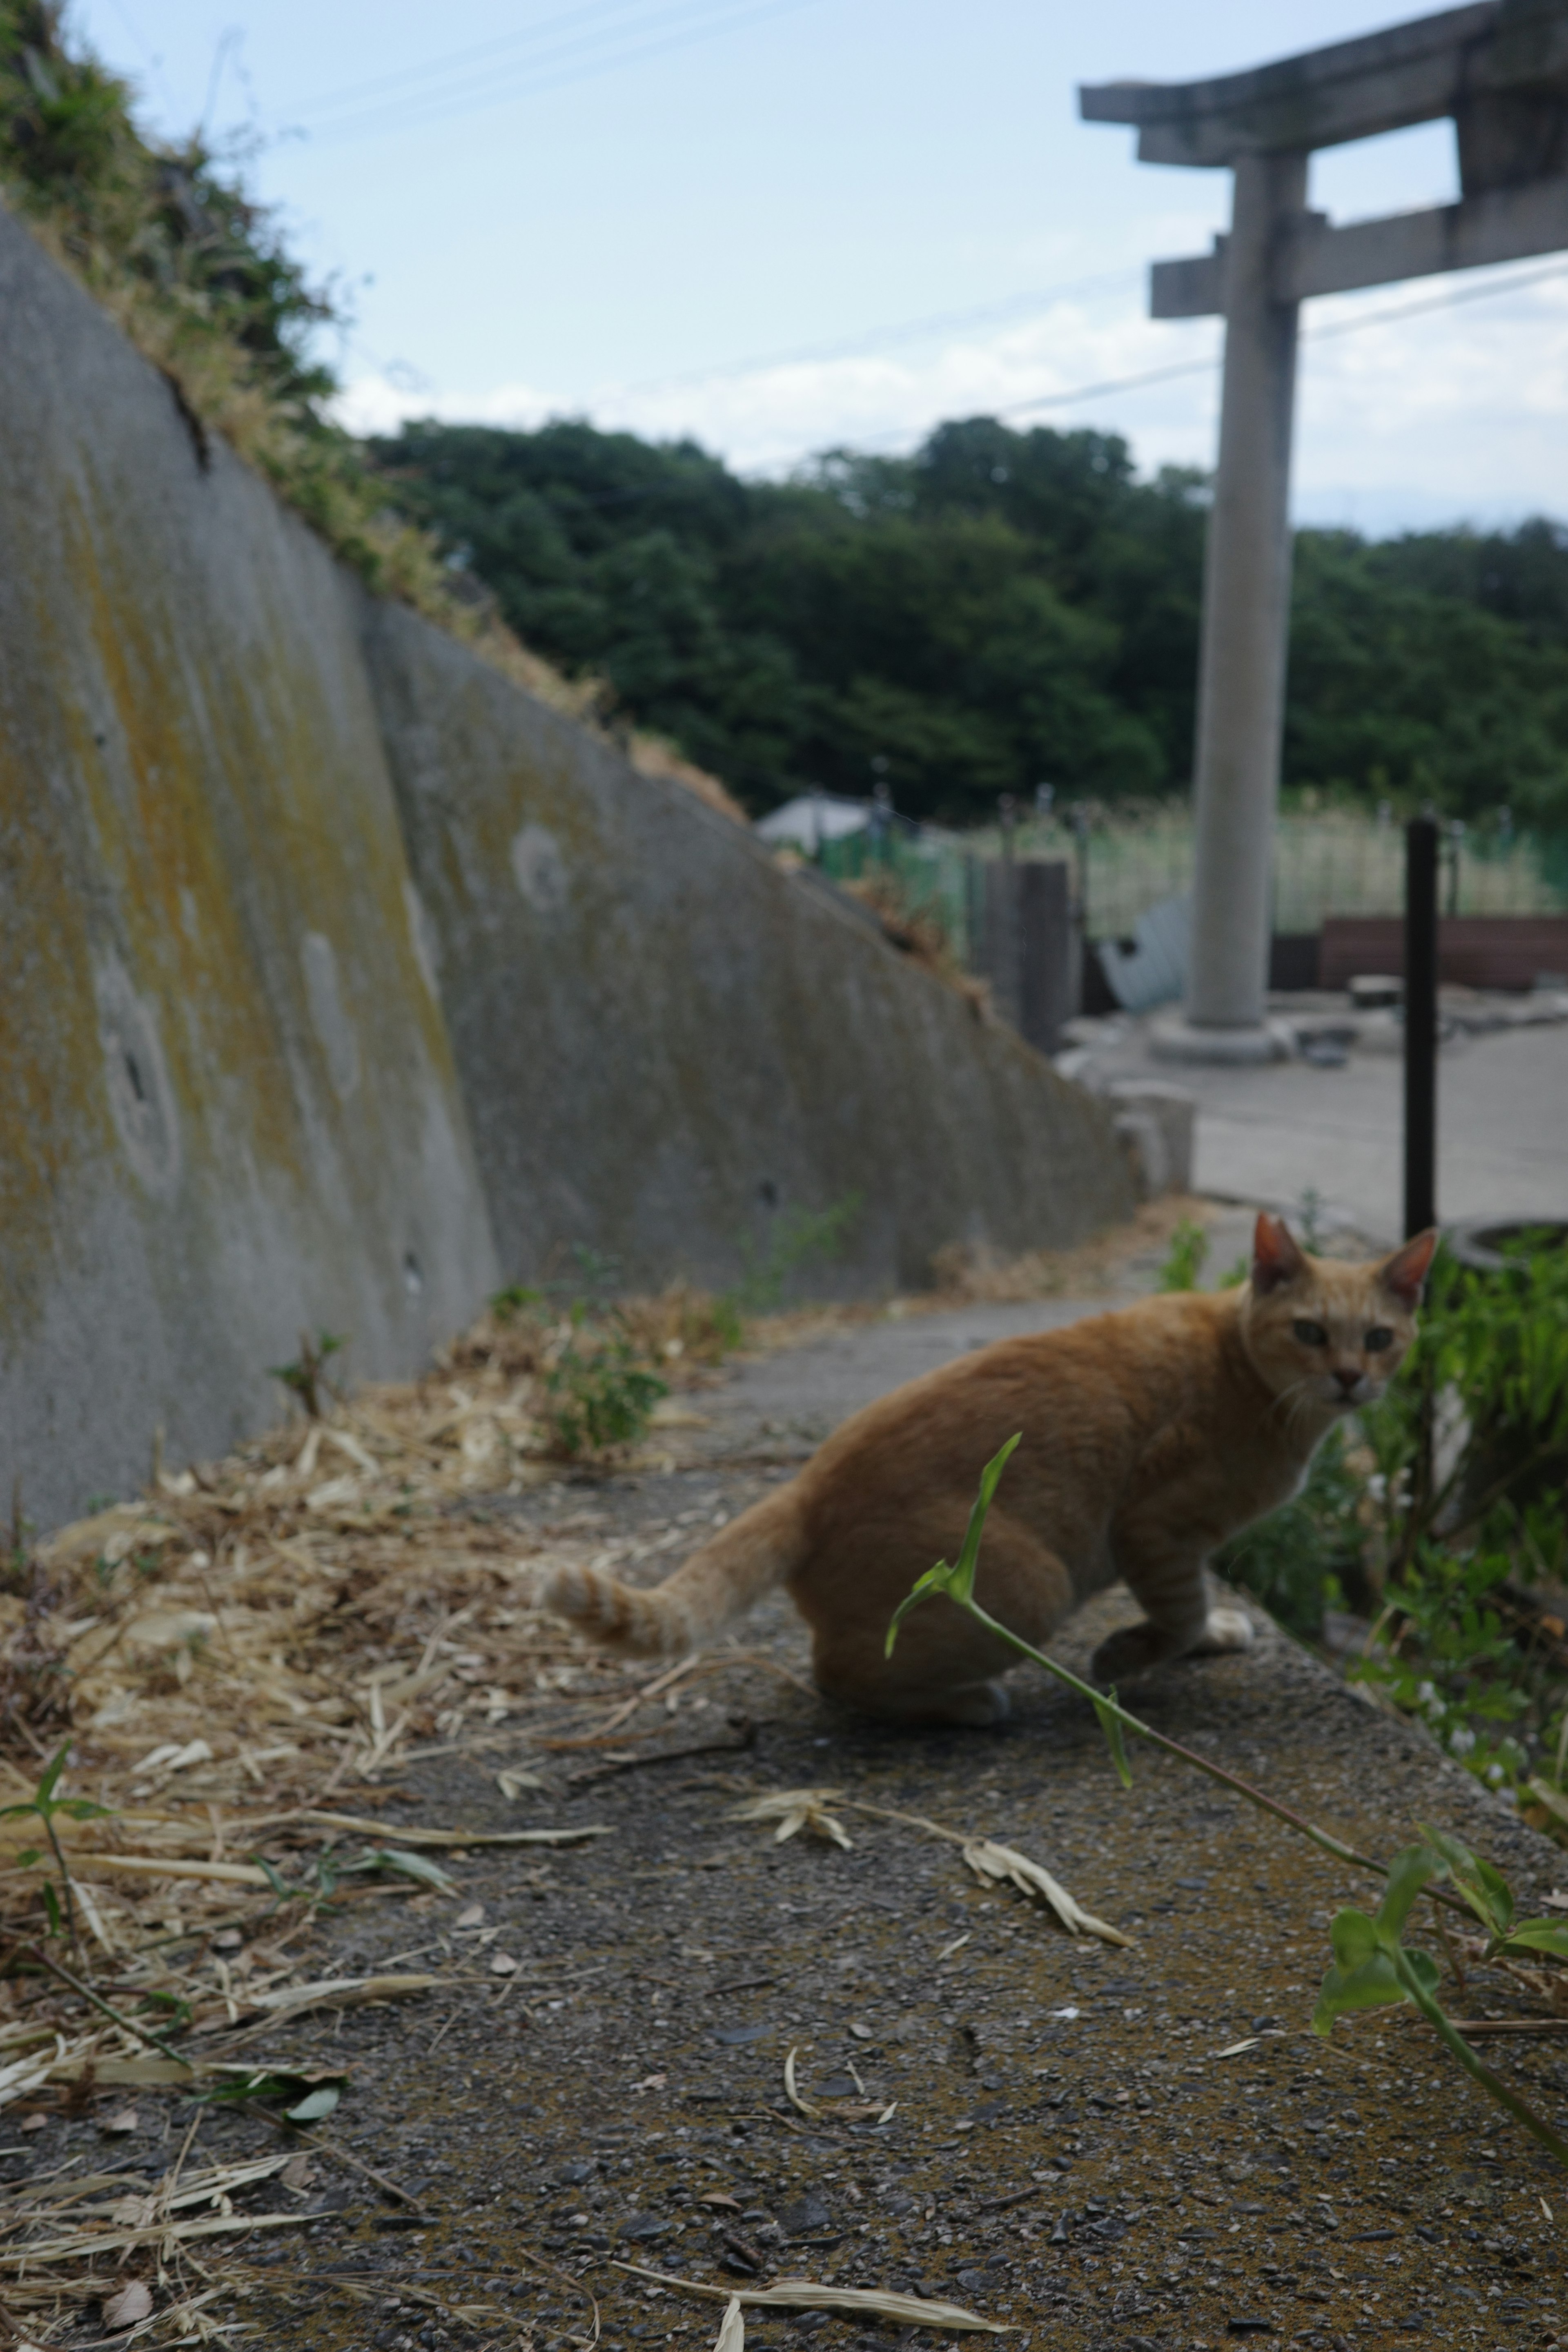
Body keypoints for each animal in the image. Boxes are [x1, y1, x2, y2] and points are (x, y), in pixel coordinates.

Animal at [545, 1223, 1439, 1722]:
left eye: (1380, 1338)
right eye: (1312, 1332)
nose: (1351, 1378)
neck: (1247, 1372)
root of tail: (804, 1486)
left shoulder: (1174, 1543)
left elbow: (1193, 1606)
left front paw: (1211, 1633)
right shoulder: (1153, 1523)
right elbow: (1176, 1609)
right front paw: (1129, 1657)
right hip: (1031, 1588)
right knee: (836, 1673)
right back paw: (970, 1704)